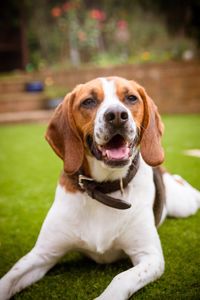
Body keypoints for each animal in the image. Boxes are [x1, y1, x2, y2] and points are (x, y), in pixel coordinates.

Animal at [0, 76, 200, 298]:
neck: (103, 190)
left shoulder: (150, 256)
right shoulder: (42, 254)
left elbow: (120, 279)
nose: (117, 116)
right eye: (88, 101)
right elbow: (8, 278)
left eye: (131, 98)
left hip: (184, 205)